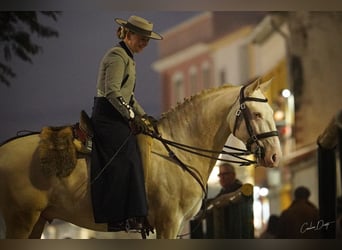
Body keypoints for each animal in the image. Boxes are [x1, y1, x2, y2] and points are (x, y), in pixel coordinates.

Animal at [0, 78, 280, 238]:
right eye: (256, 114)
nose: (275, 155)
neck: (179, 150)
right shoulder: (168, 223)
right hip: (22, 219)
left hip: (38, 220)